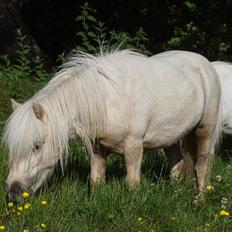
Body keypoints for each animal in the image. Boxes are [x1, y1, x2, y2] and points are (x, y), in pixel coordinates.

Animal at [2, 49, 221, 201]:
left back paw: (199, 201)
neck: (107, 100)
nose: (13, 192)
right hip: (170, 137)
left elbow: (132, 183)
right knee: (177, 164)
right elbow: (96, 181)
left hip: (205, 130)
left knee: (202, 166)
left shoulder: (134, 147)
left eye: (37, 145)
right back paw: (175, 195)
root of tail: (205, 64)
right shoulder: (97, 149)